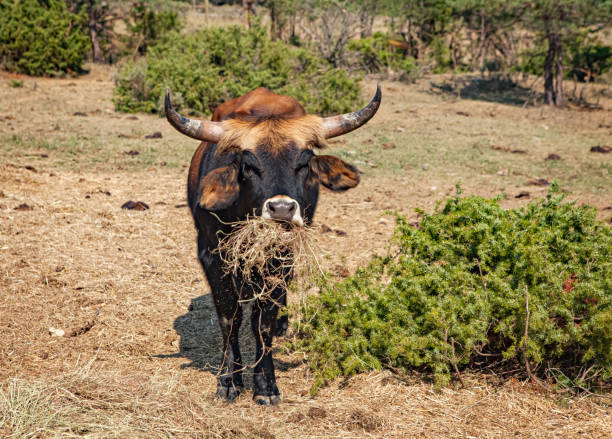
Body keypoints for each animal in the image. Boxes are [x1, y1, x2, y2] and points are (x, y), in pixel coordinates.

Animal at [165, 85, 380, 406]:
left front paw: (265, 385)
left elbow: (261, 321)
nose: (281, 209)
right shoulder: (211, 256)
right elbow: (229, 319)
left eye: (303, 163)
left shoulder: (279, 259)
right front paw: (228, 382)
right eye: (249, 165)